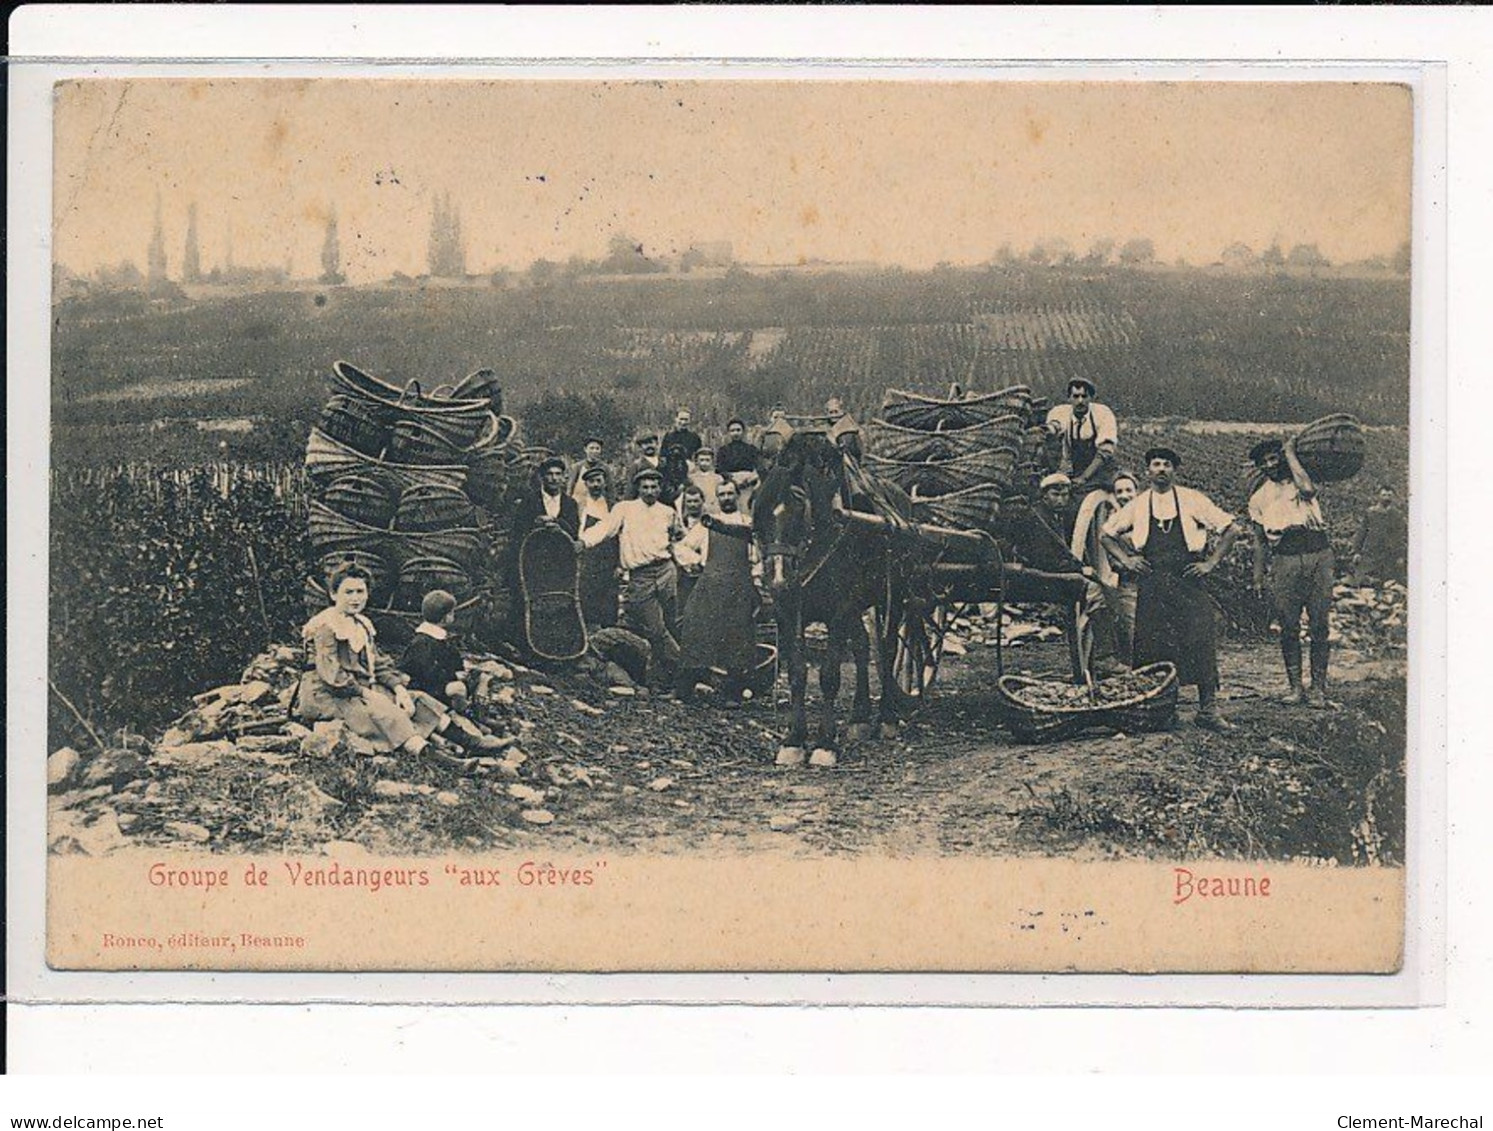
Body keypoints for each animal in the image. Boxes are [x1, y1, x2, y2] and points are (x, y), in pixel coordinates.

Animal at [752, 432, 913, 769]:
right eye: (758, 509)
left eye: (798, 506)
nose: (777, 578)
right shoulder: (789, 611)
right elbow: (798, 673)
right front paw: (794, 739)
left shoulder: (838, 611)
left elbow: (829, 676)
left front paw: (825, 744)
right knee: (863, 647)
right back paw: (860, 717)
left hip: (894, 595)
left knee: (888, 648)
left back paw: (887, 717)